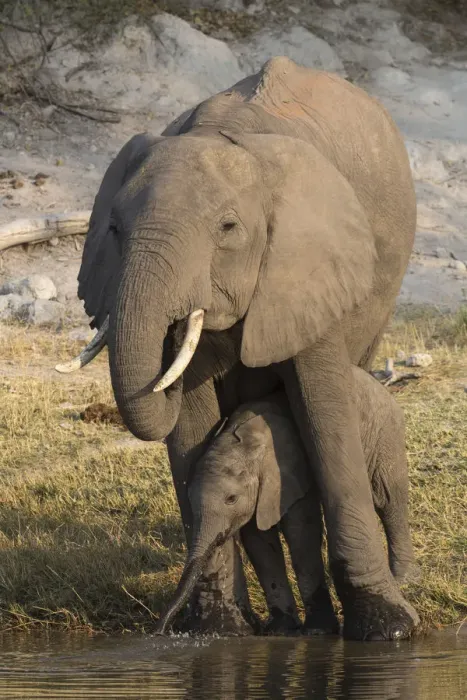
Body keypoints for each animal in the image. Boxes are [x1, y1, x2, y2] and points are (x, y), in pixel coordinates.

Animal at [155, 366, 416, 638]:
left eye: (231, 499)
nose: (161, 631)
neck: (243, 445)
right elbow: (258, 538)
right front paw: (281, 630)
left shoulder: (290, 469)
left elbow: (300, 530)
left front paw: (317, 631)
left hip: (385, 429)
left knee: (389, 499)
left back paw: (403, 579)